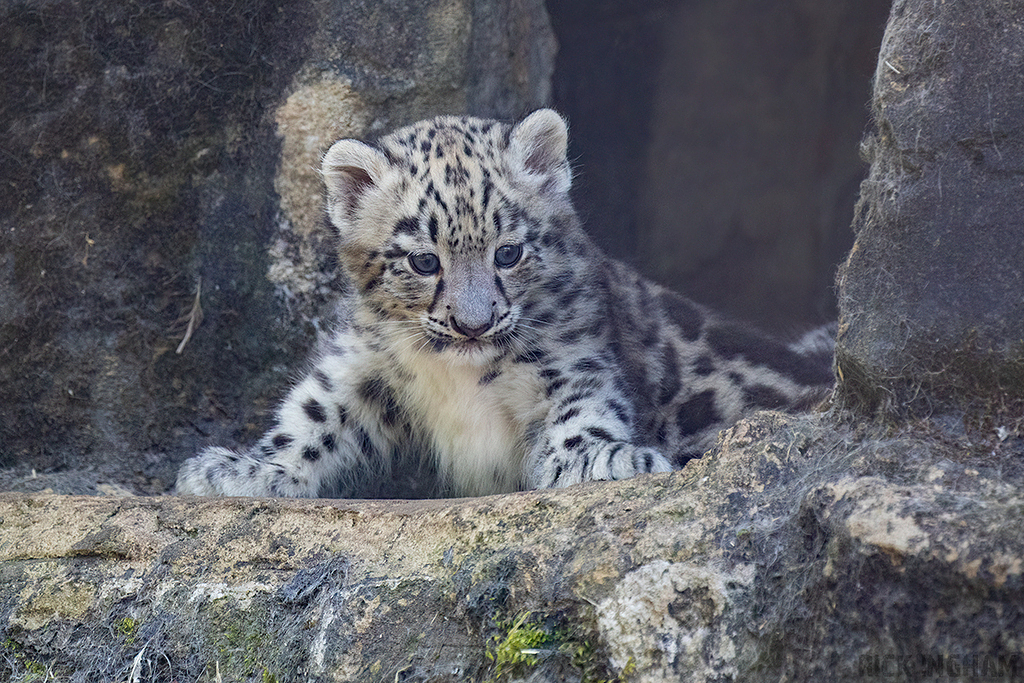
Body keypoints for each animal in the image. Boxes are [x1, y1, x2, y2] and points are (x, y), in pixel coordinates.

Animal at [175, 108, 834, 499]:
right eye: (424, 261)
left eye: (509, 252)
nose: (474, 324)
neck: (457, 375)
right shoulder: (361, 367)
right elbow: (312, 416)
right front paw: (241, 470)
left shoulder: (572, 356)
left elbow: (584, 406)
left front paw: (600, 459)